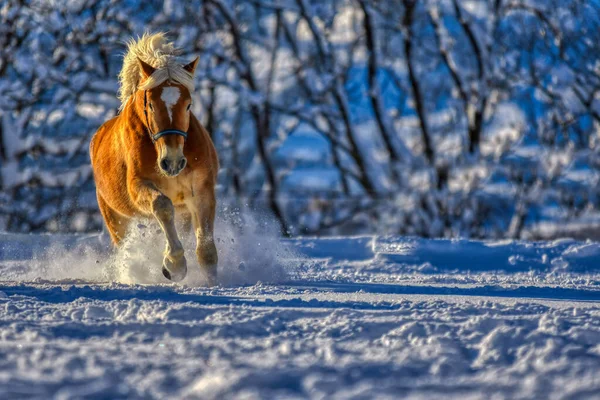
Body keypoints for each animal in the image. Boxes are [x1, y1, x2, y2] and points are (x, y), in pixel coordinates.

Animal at [90, 33, 219, 284]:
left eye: (188, 105)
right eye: (150, 104)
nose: (173, 162)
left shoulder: (202, 189)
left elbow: (206, 248)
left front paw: (213, 281)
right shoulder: (139, 186)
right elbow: (162, 205)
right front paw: (174, 265)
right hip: (116, 219)